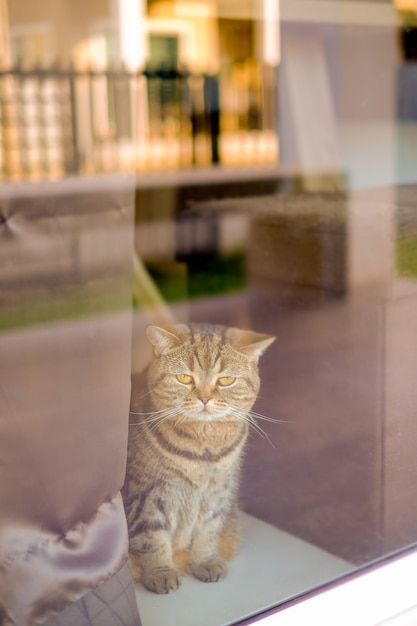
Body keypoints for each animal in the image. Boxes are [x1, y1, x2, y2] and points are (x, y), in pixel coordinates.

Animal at [122, 324, 274, 592]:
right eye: (184, 378)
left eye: (226, 380)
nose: (204, 398)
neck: (204, 450)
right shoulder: (144, 497)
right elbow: (152, 539)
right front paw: (160, 572)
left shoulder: (217, 493)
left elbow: (207, 532)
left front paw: (206, 561)